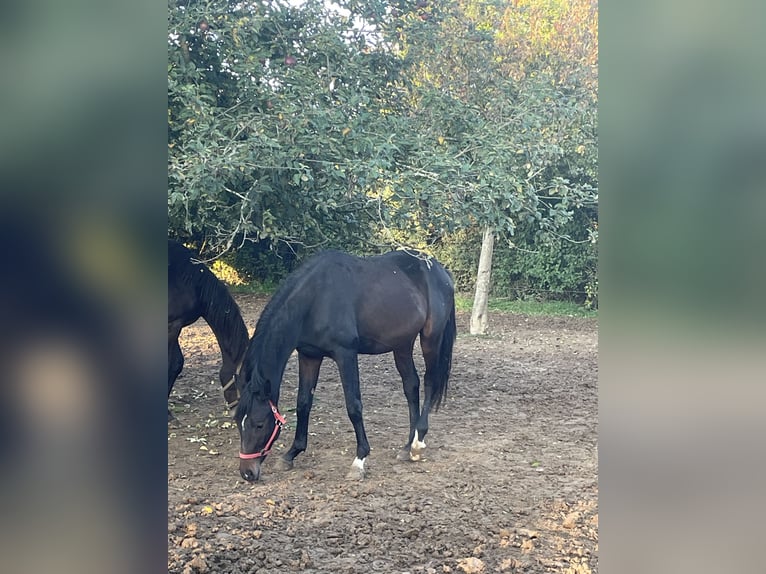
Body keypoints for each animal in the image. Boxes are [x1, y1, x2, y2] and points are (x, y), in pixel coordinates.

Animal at [234, 249, 456, 482]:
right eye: (238, 421)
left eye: (259, 424)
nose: (247, 473)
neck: (315, 299)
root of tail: (441, 272)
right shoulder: (309, 356)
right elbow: (303, 403)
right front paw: (291, 454)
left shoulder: (346, 354)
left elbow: (353, 406)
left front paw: (359, 460)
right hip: (402, 344)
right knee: (411, 386)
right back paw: (407, 446)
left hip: (431, 339)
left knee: (429, 382)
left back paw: (418, 443)